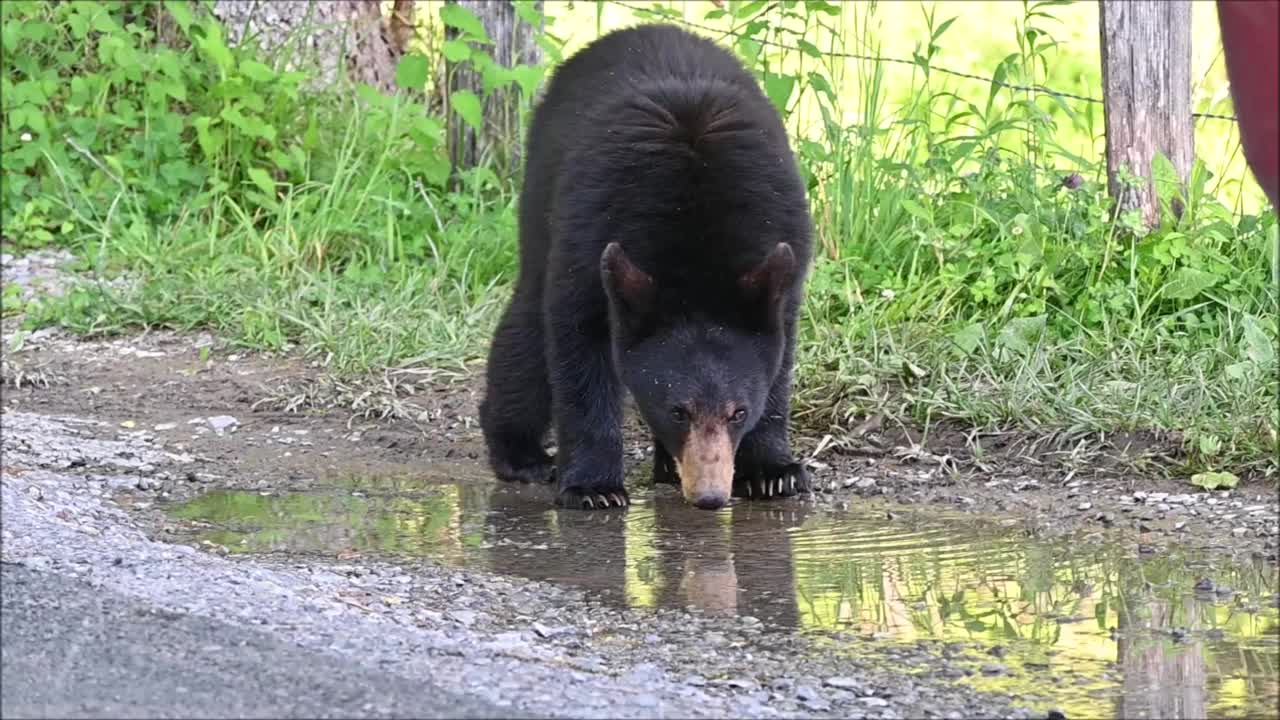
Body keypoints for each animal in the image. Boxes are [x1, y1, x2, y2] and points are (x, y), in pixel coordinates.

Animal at [476, 23, 814, 509]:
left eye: (738, 412)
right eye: (677, 410)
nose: (710, 496)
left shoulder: (782, 242)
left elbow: (778, 357)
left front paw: (773, 471)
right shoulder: (591, 228)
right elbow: (578, 344)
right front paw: (594, 486)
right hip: (540, 193)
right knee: (526, 328)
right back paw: (521, 453)